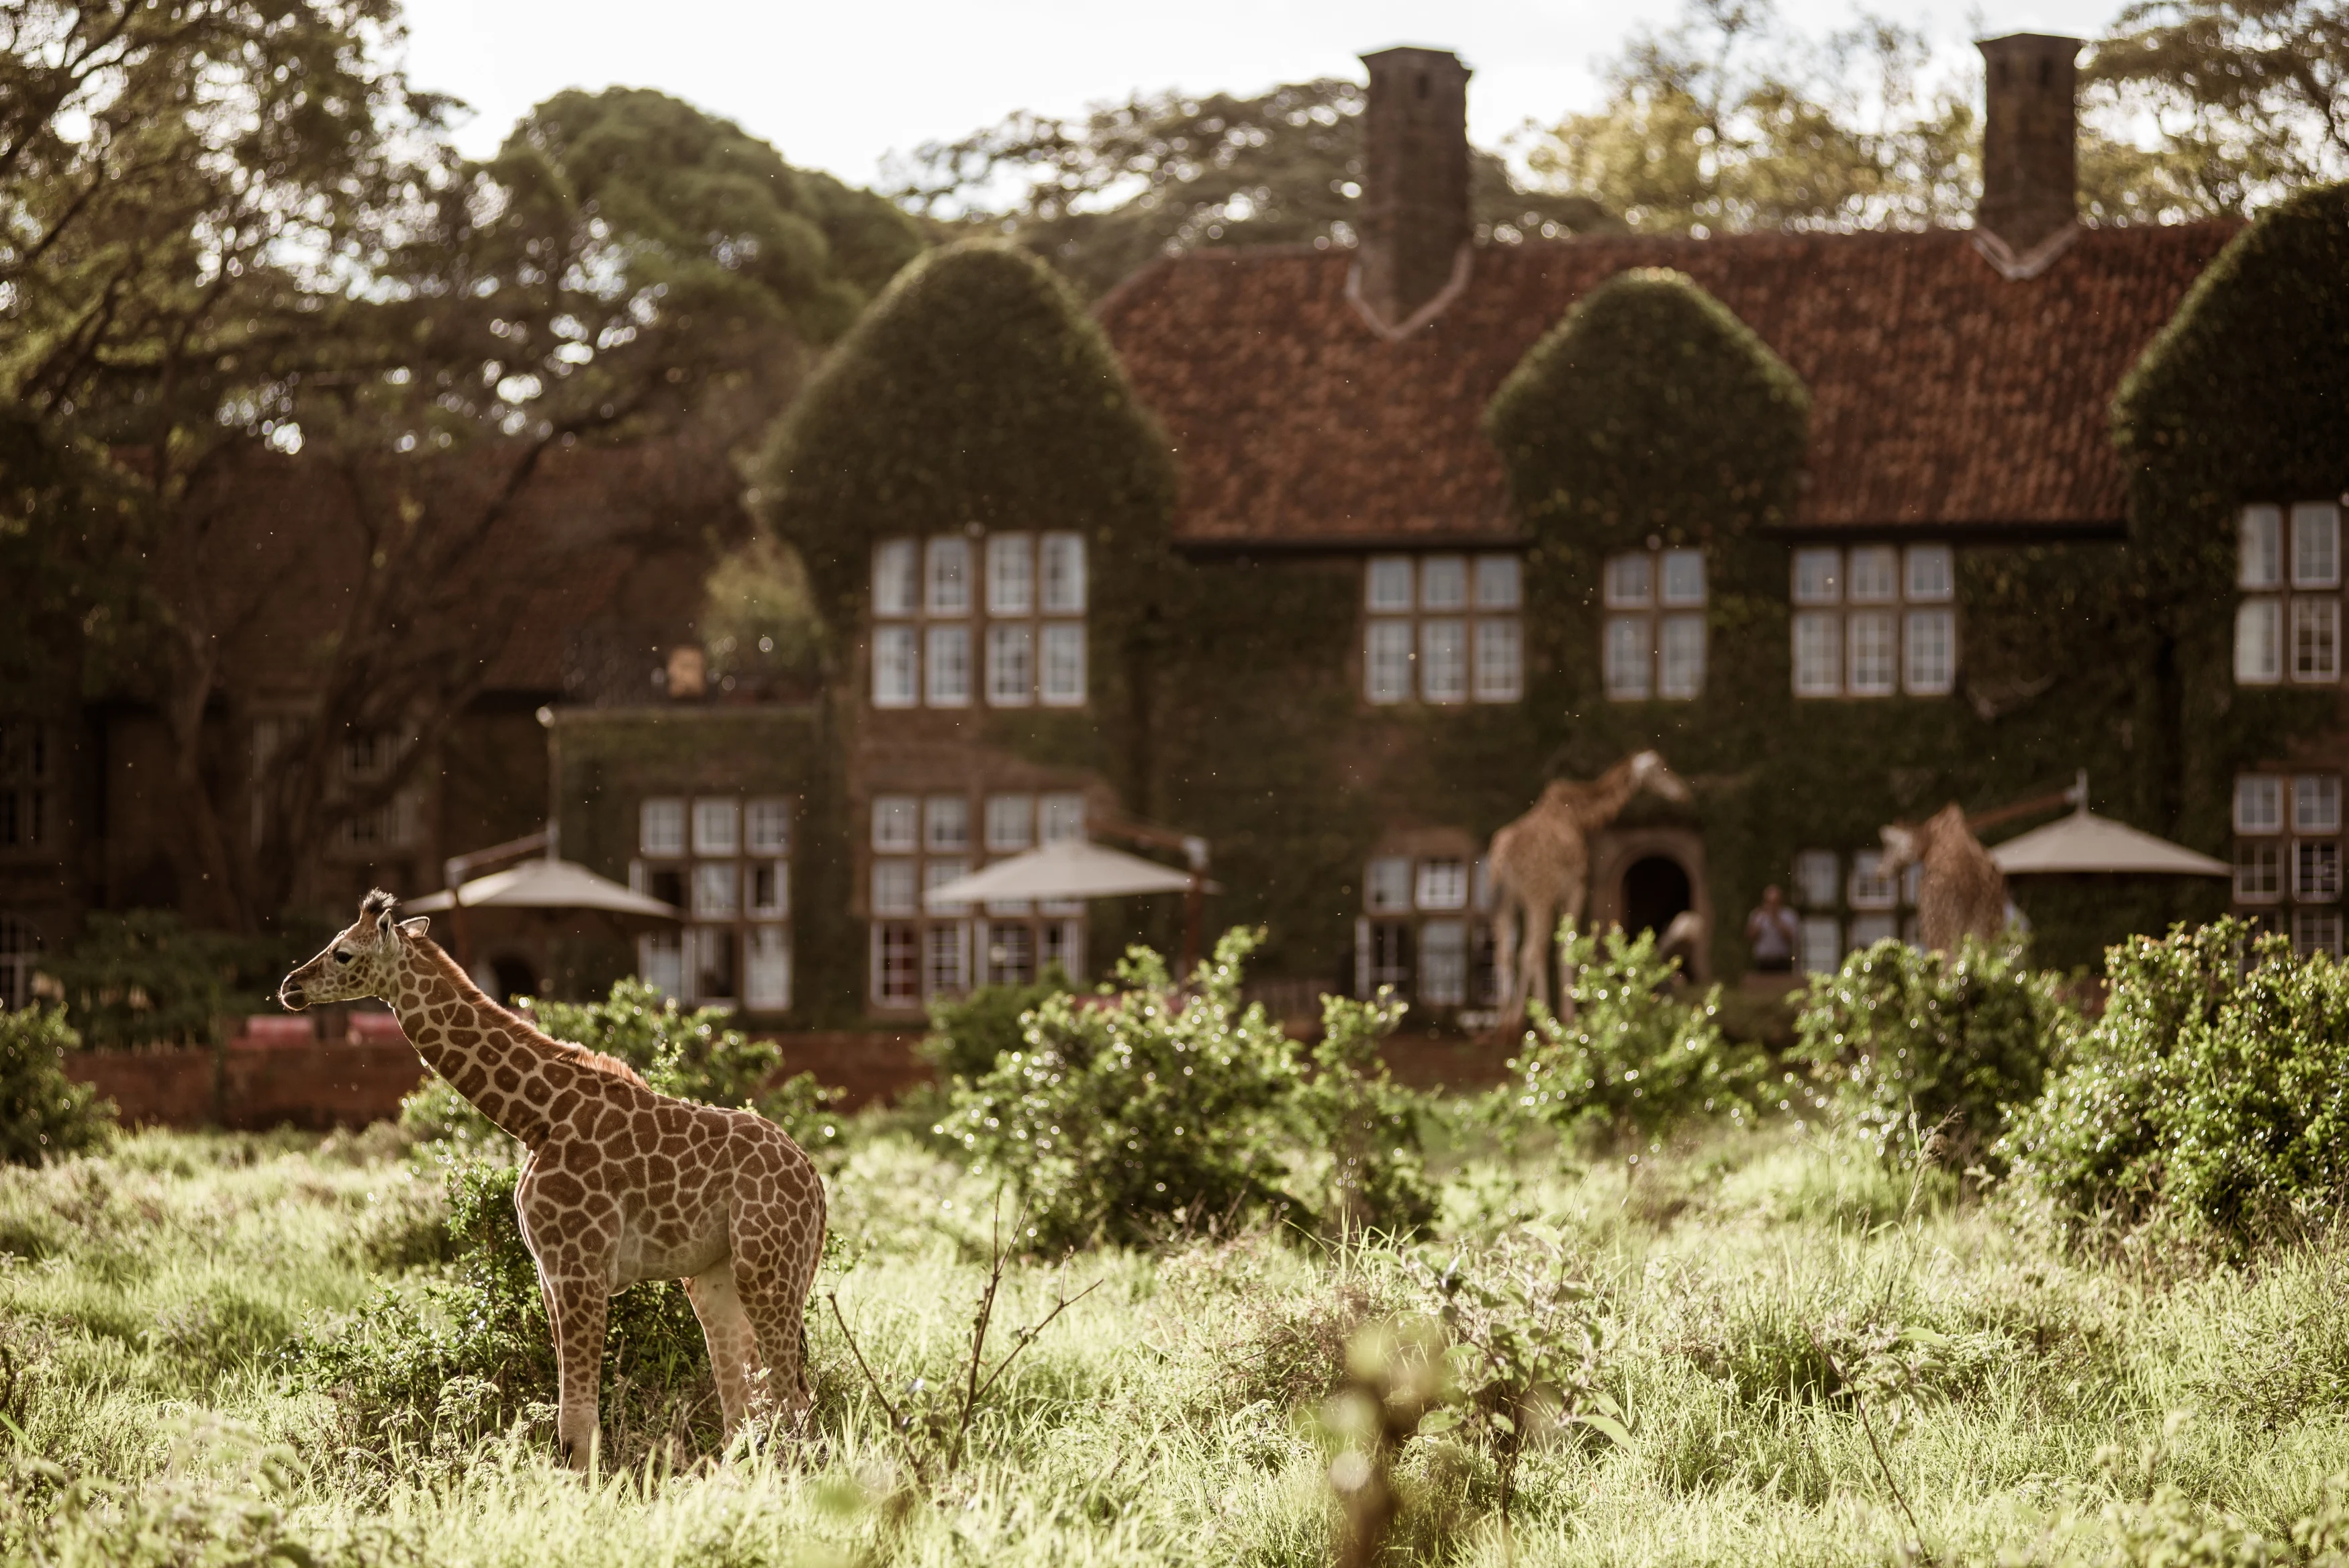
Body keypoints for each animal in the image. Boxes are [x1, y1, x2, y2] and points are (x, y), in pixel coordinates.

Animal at [279, 891, 825, 1470]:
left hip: (767, 1268)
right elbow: (573, 1420)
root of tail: (816, 1183)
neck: (536, 1117)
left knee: (793, 1401)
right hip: (714, 1277)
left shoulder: (578, 1266)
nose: (291, 986)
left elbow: (576, 1424)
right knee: (743, 1410)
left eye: (342, 953)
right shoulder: (549, 1273)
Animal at [1488, 750, 1693, 1022]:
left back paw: (1505, 1022)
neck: (1579, 816)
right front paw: (1568, 1017)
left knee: (1506, 951)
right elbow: (1565, 945)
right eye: (1661, 768)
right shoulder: (1575, 888)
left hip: (1507, 899)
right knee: (1530, 950)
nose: (1683, 792)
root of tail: (1503, 859)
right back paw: (1534, 1021)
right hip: (1538, 896)